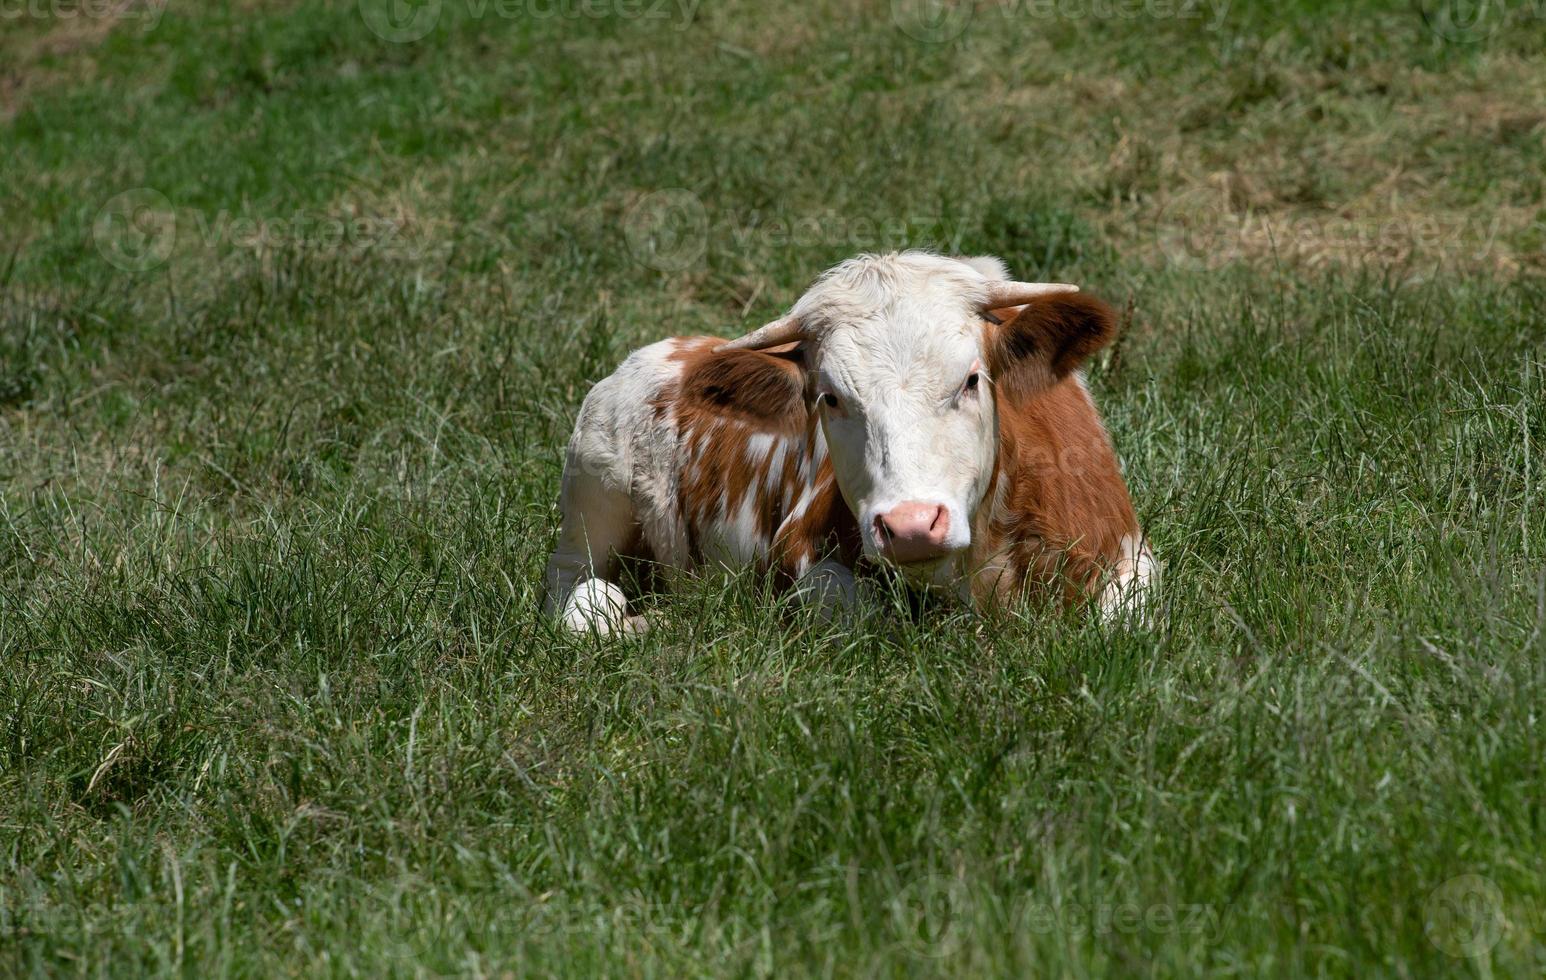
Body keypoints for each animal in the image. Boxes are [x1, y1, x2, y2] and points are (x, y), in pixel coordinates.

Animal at [547, 250, 1162, 633]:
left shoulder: (1129, 554)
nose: (912, 525)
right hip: (591, 500)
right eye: (831, 398)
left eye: (971, 379)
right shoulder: (801, 561)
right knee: (578, 597)